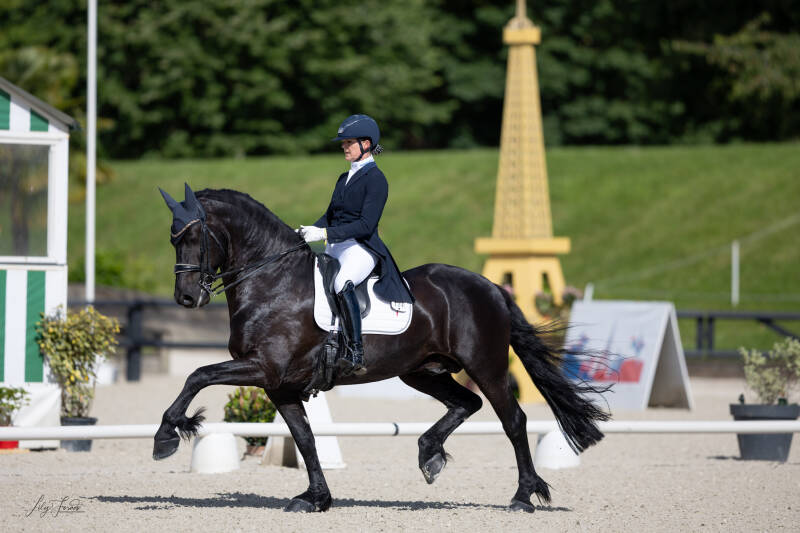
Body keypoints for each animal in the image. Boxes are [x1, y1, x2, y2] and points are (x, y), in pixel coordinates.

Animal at [153, 184, 610, 513]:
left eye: (194, 235)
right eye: (172, 239)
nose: (186, 298)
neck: (272, 280)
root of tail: (492, 286)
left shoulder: (265, 368)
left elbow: (197, 375)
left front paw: (166, 435)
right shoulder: (279, 385)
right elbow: (305, 438)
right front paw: (316, 498)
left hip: (486, 367)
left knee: (512, 420)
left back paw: (522, 496)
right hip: (421, 370)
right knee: (467, 403)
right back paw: (430, 455)